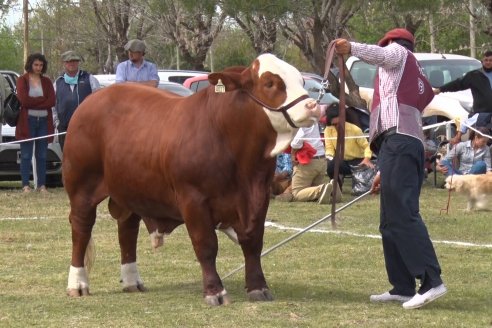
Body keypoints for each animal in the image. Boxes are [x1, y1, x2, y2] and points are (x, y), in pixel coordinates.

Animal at [63, 53, 320, 304]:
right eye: (270, 83)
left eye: (301, 80)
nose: (313, 106)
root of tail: (92, 100)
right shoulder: (193, 199)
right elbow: (205, 245)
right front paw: (214, 291)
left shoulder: (259, 197)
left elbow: (253, 242)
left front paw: (258, 287)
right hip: (81, 187)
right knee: (81, 229)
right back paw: (77, 284)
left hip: (130, 189)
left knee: (127, 229)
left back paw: (131, 281)